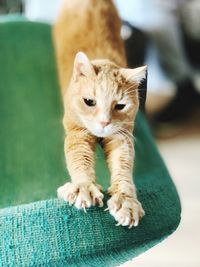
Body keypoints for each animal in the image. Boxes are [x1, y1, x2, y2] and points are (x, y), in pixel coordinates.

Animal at [54, 0, 146, 228]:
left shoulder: (121, 138)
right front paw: (83, 187)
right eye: (89, 102)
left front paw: (126, 201)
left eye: (120, 106)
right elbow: (79, 159)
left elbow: (123, 167)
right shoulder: (77, 133)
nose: (104, 122)